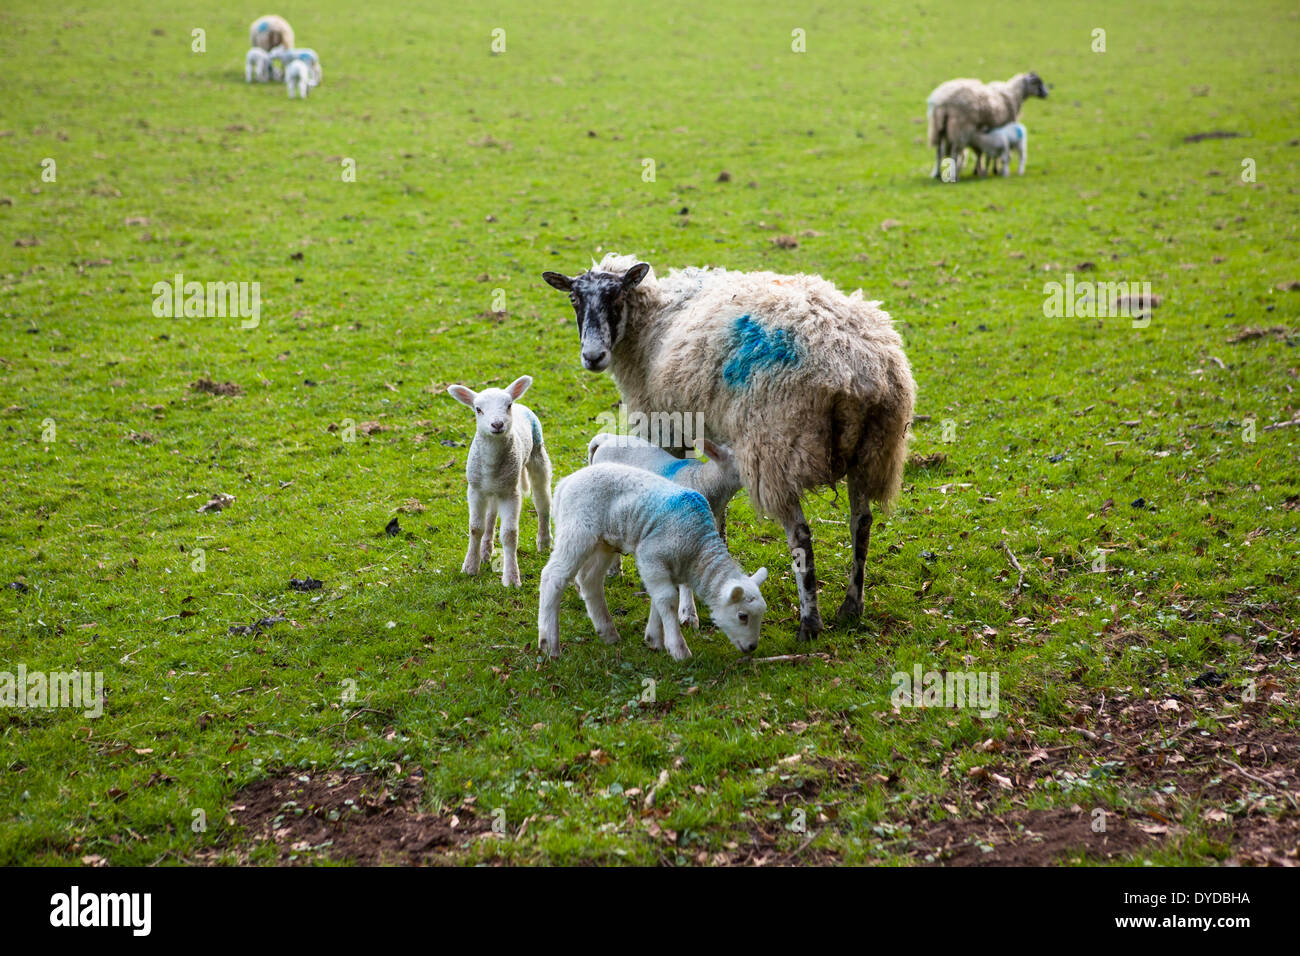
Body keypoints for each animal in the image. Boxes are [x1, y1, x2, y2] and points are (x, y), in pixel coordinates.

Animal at [446, 376, 553, 587]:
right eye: (478, 409)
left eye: (508, 405)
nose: (497, 424)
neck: (492, 463)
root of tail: (522, 405)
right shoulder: (475, 490)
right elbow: (475, 528)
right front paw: (470, 567)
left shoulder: (511, 493)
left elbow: (509, 534)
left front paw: (511, 578)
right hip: (494, 487)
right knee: (491, 515)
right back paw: (485, 551)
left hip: (537, 456)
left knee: (542, 503)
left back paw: (544, 542)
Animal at [538, 463, 767, 660]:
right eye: (742, 616)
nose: (752, 647)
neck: (696, 548)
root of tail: (565, 483)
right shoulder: (651, 556)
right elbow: (667, 599)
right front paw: (678, 649)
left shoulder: (668, 568)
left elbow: (660, 599)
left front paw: (654, 639)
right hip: (577, 530)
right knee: (553, 577)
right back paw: (549, 644)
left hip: (605, 542)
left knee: (589, 579)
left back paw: (608, 633)